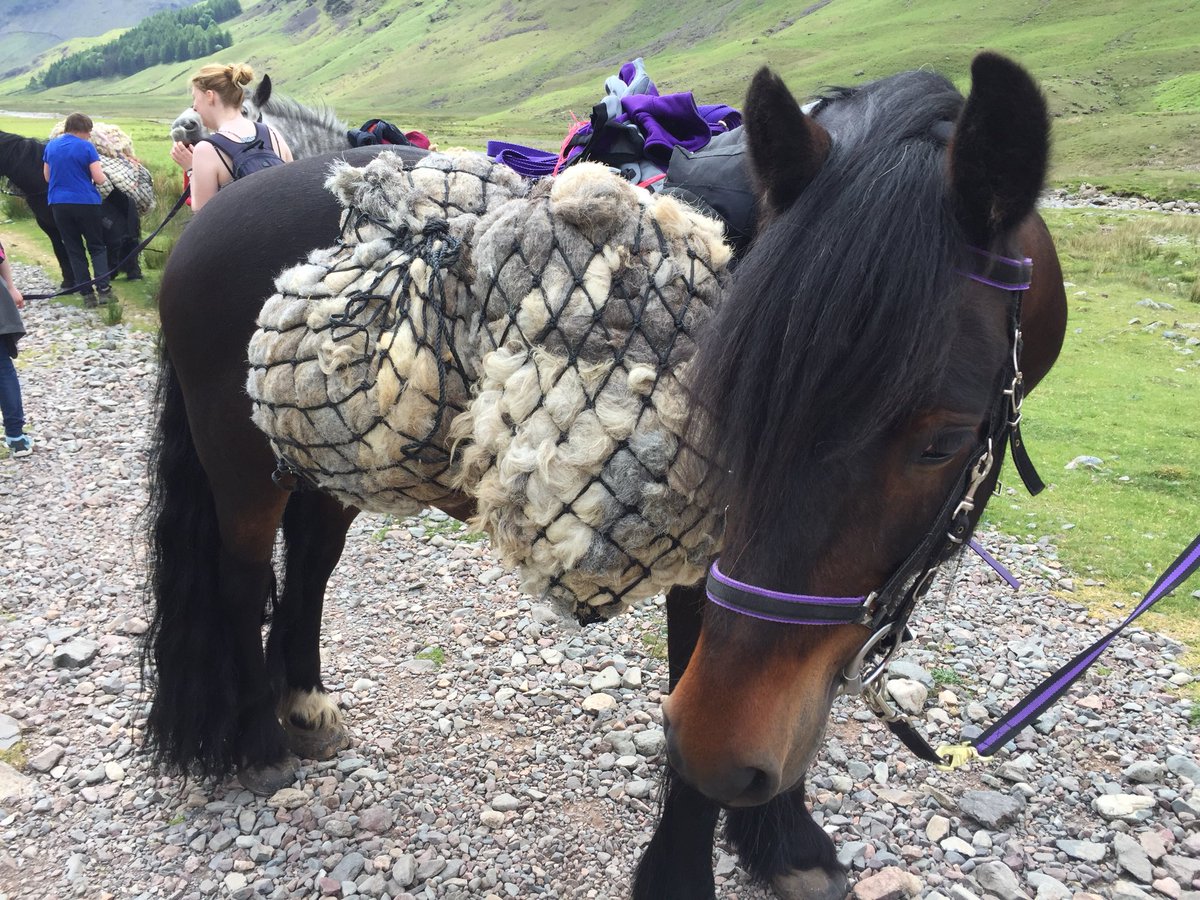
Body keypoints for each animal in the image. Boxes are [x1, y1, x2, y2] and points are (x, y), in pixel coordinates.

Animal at [145, 50, 1067, 900]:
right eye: (722, 401)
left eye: (942, 442)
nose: (731, 761)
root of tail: (206, 224)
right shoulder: (712, 570)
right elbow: (712, 702)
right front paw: (691, 868)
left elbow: (795, 693)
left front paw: (786, 842)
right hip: (242, 469)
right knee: (241, 582)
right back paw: (260, 744)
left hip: (324, 461)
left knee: (309, 566)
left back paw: (302, 705)